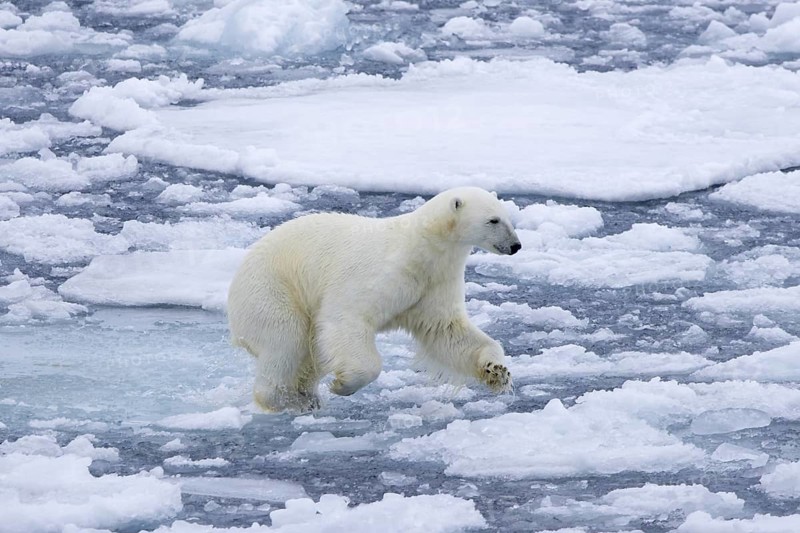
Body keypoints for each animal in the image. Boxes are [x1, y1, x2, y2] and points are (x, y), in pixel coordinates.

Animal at [227, 186, 522, 412]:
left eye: (508, 217)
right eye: (493, 220)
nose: (516, 246)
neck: (421, 247)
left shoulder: (434, 282)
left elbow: (447, 331)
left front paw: (498, 372)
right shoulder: (382, 271)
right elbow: (346, 318)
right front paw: (343, 384)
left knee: (310, 351)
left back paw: (307, 397)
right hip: (271, 290)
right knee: (287, 340)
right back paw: (282, 400)